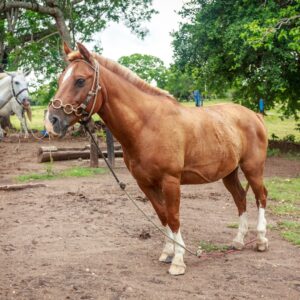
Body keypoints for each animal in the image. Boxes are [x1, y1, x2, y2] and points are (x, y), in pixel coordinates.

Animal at [45, 43, 270, 276]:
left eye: (80, 80)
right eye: (60, 80)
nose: (51, 121)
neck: (147, 125)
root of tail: (254, 116)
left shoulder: (170, 181)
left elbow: (173, 217)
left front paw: (178, 261)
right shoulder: (146, 184)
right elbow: (163, 216)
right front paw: (167, 252)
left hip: (253, 168)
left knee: (261, 196)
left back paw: (261, 240)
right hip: (229, 173)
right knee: (240, 198)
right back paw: (238, 241)